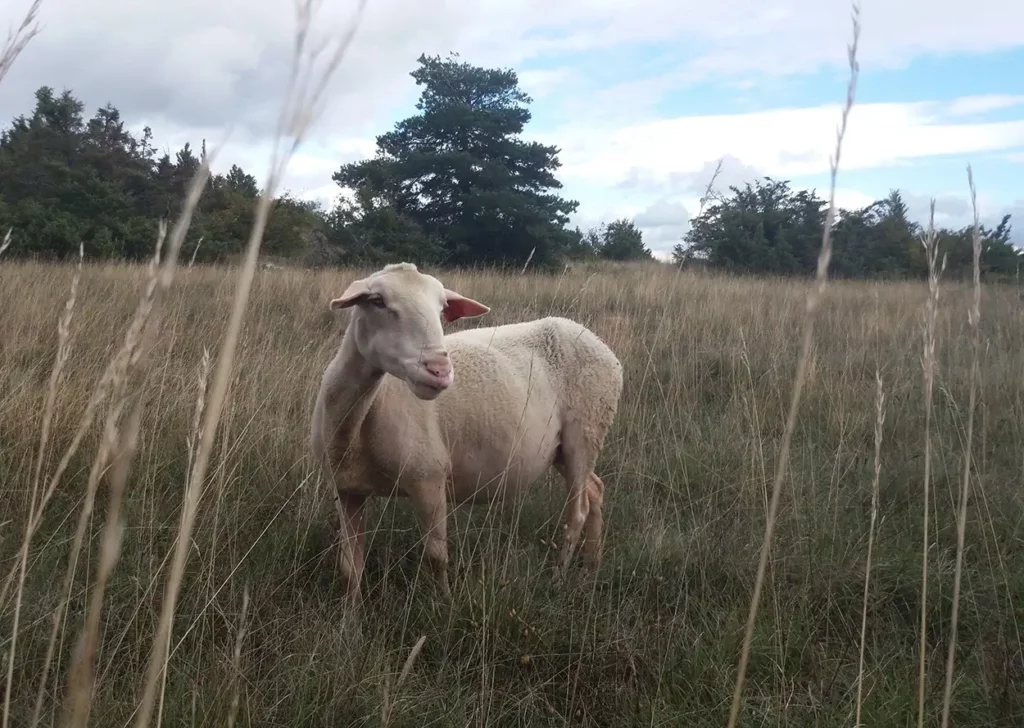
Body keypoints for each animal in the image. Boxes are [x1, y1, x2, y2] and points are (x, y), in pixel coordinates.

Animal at [307, 262, 618, 602]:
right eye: (377, 301)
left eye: (442, 307)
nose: (440, 370)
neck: (355, 427)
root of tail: (596, 340)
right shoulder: (346, 490)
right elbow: (350, 567)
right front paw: (350, 614)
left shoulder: (428, 478)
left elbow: (436, 557)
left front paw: (443, 604)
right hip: (561, 448)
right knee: (595, 489)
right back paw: (590, 571)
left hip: (586, 431)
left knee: (577, 511)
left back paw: (559, 580)